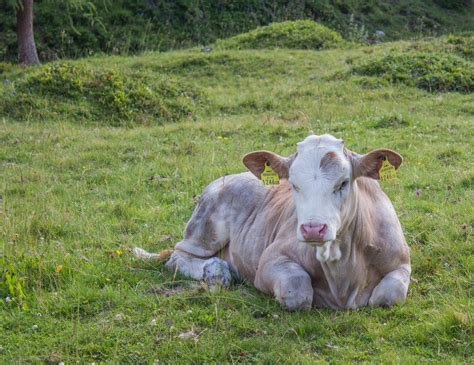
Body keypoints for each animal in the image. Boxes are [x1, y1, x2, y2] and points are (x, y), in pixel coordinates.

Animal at [135, 134, 410, 310]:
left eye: (343, 182)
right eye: (294, 184)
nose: (313, 228)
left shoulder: (402, 261)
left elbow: (388, 295)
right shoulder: (270, 260)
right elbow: (297, 290)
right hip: (204, 230)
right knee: (177, 257)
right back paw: (217, 271)